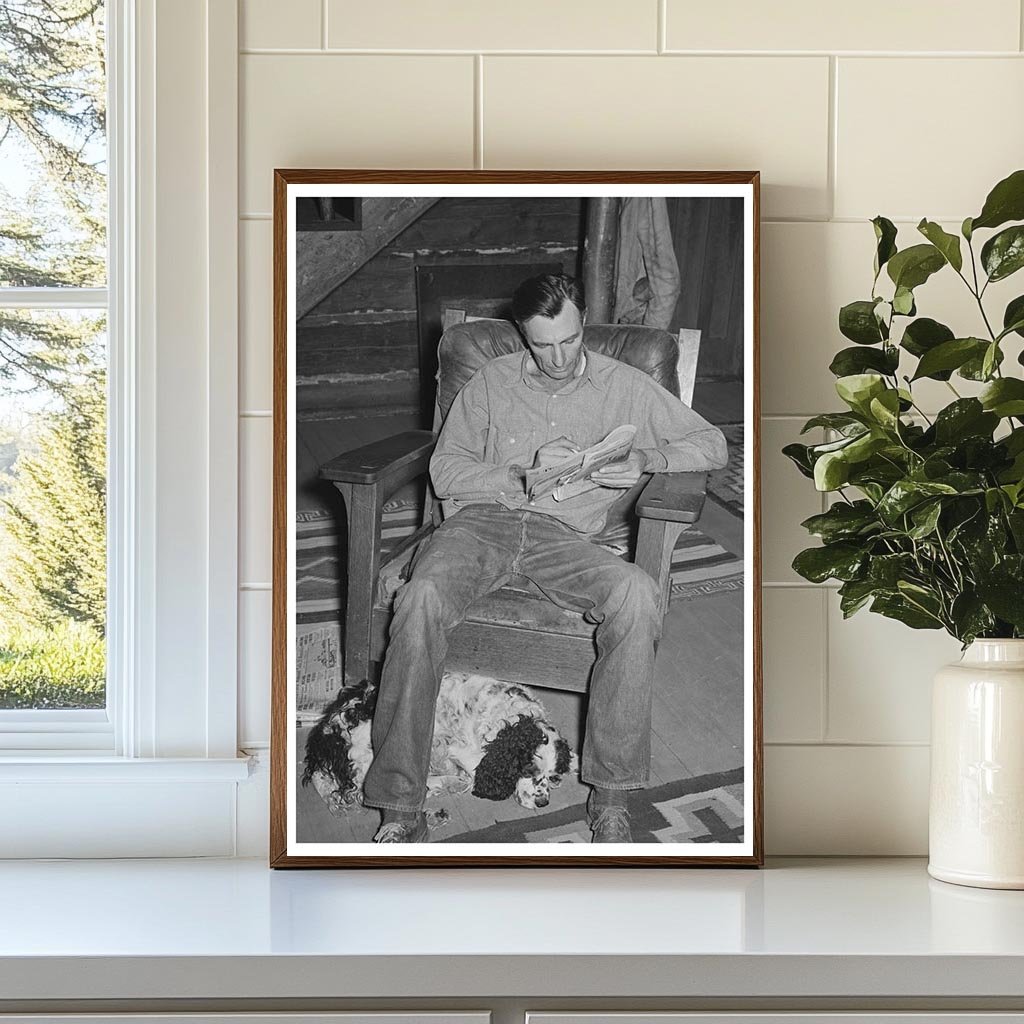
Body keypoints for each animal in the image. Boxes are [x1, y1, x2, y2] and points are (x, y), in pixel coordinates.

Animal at [301, 671, 577, 815]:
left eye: (552, 775)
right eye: (527, 771)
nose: (543, 803)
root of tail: (325, 735)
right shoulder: (463, 750)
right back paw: (451, 782)